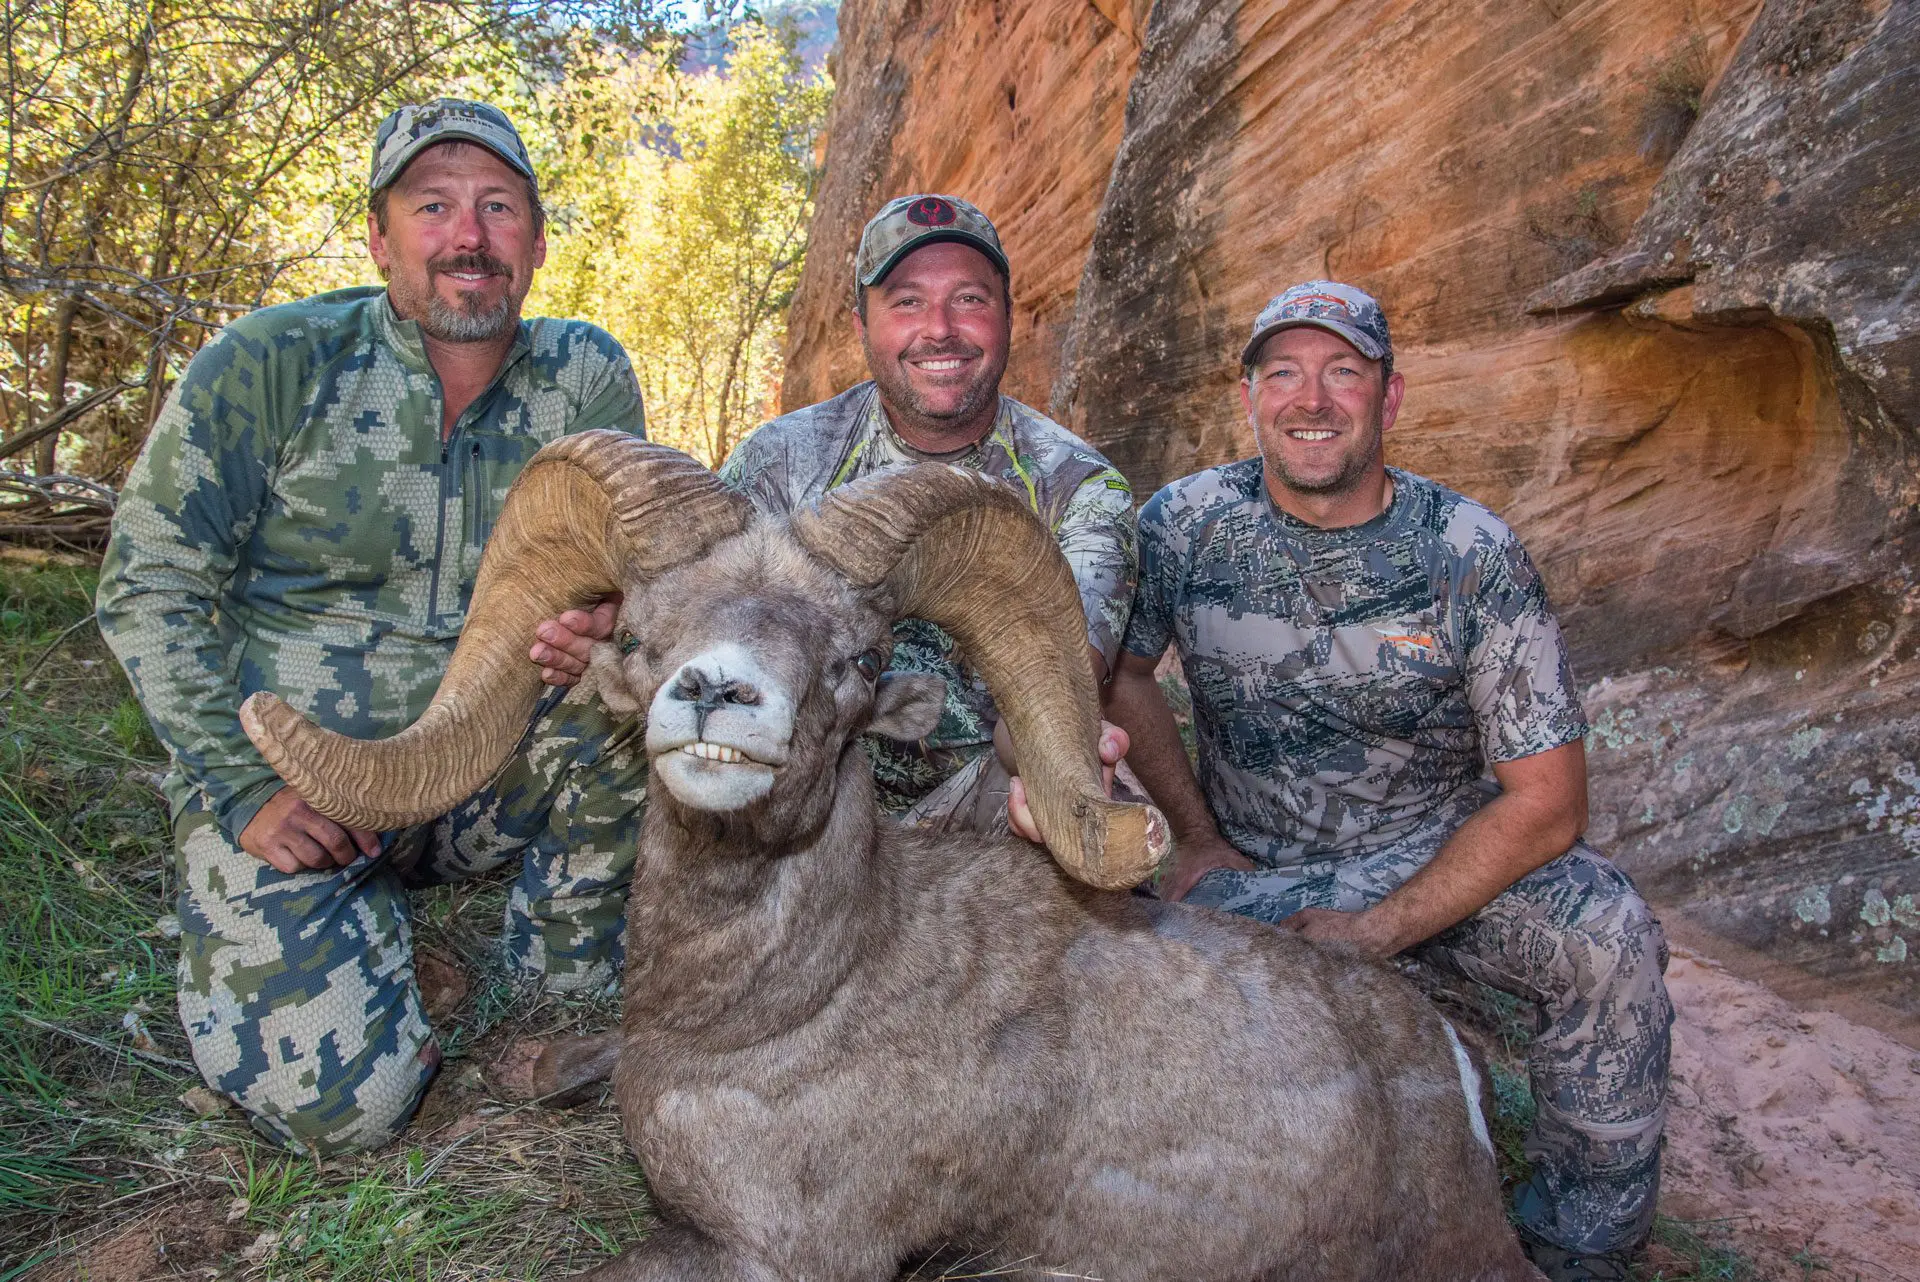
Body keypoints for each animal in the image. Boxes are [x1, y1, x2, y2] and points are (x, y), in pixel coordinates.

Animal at [247, 433, 1551, 1282]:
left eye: (862, 657)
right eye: (640, 631)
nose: (718, 693)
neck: (780, 1005)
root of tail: (1454, 1078)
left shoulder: (776, 1256)